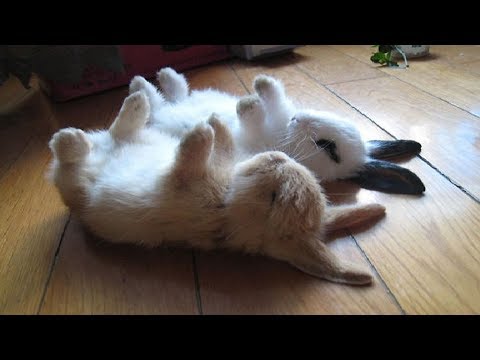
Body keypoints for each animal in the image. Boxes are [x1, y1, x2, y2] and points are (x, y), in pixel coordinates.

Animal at [47, 89, 386, 284]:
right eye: (296, 168)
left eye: (275, 197)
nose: (275, 157)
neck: (228, 201)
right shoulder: (224, 161)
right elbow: (223, 145)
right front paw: (213, 122)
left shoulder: (181, 185)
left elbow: (186, 161)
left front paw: (199, 134)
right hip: (139, 140)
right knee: (120, 133)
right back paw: (135, 102)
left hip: (79, 183)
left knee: (74, 159)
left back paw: (68, 138)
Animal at [128, 67, 424, 194]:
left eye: (328, 147)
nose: (299, 118)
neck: (284, 134)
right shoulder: (280, 113)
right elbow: (274, 98)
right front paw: (260, 84)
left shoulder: (252, 141)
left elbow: (252, 120)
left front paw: (248, 104)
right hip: (178, 102)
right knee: (173, 94)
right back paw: (157, 76)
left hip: (159, 116)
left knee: (155, 105)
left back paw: (141, 86)